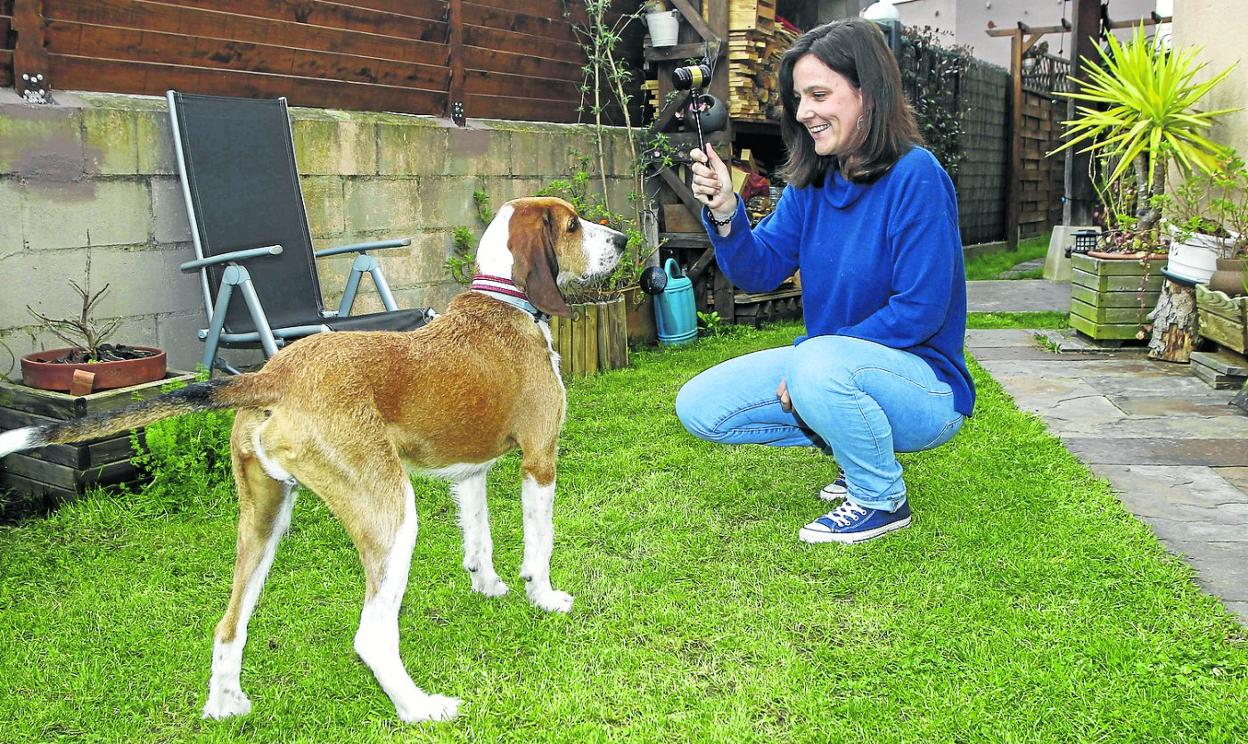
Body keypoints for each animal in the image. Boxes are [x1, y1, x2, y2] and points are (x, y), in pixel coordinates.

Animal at [0, 195, 624, 719]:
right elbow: (538, 546)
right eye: (573, 225)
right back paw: (421, 708)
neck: (505, 299)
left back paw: (226, 706)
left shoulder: (468, 469)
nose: (620, 239)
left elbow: (480, 540)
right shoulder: (540, 458)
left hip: (264, 521)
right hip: (392, 516)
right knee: (372, 635)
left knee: (229, 626)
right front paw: (544, 598)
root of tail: (271, 376)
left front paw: (488, 587)